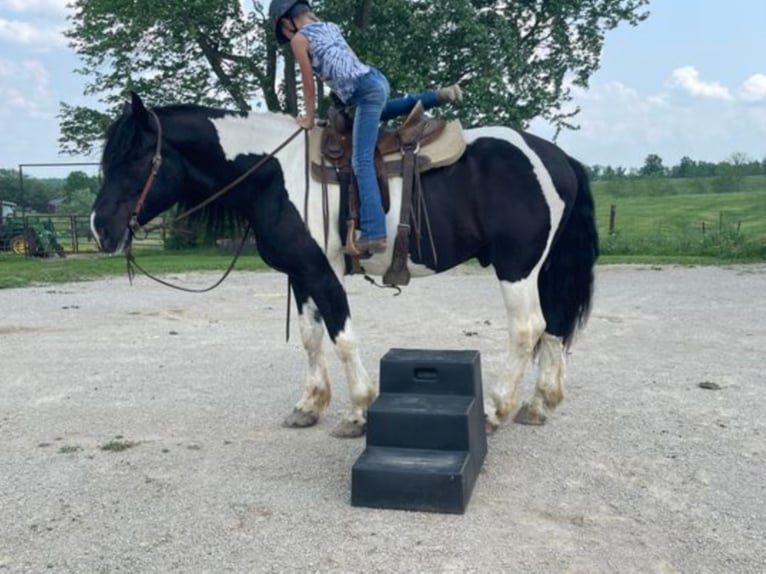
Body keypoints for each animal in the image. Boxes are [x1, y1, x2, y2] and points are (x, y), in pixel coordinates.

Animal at [90, 92, 600, 438]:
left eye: (137, 158)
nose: (100, 229)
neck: (278, 173)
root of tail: (557, 157)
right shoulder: (300, 274)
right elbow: (312, 338)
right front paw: (309, 405)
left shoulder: (323, 273)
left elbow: (343, 338)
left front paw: (357, 412)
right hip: (544, 268)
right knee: (554, 325)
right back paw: (539, 404)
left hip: (517, 267)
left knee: (527, 329)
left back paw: (497, 410)